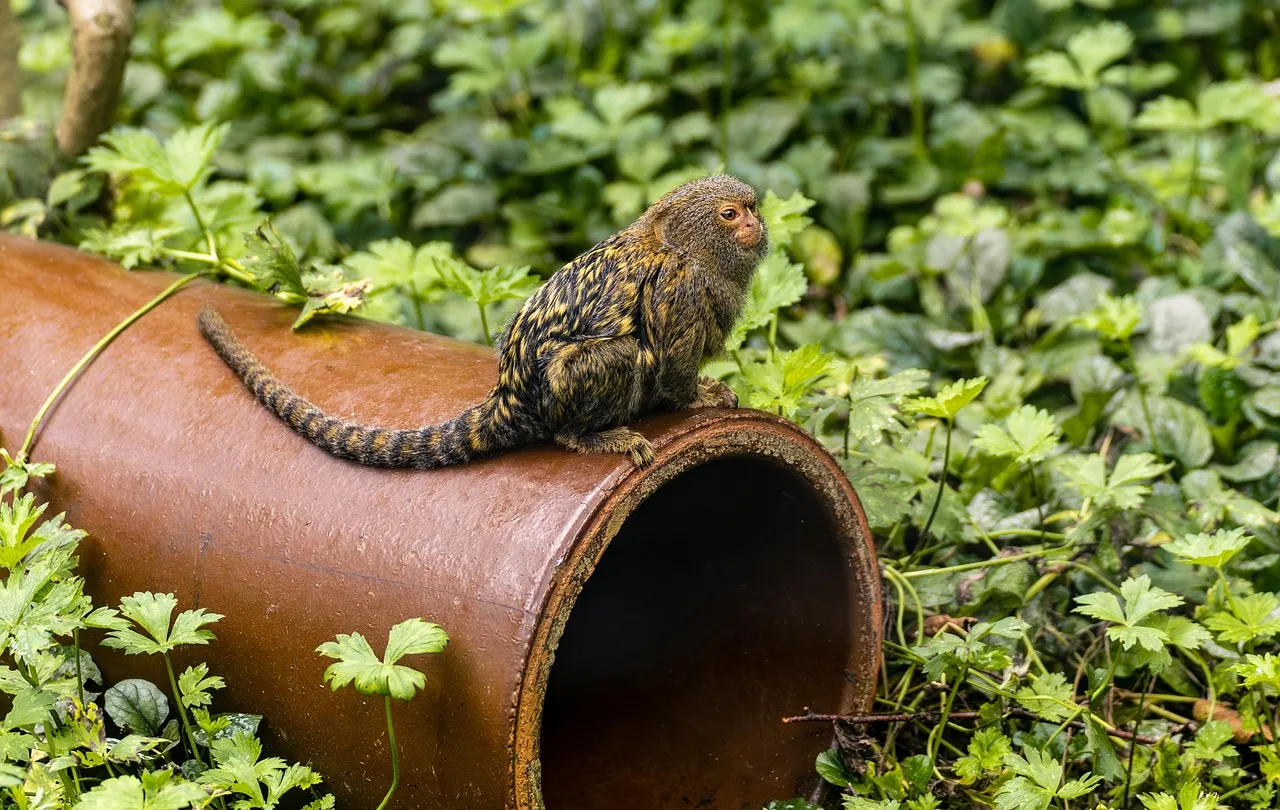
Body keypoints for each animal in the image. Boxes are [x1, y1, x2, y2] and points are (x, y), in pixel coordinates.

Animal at [196, 173, 768, 469]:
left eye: (752, 207)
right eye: (729, 215)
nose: (755, 224)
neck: (685, 250)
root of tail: (509, 399)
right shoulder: (678, 289)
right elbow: (672, 362)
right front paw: (698, 397)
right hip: (561, 389)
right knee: (612, 361)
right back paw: (590, 436)